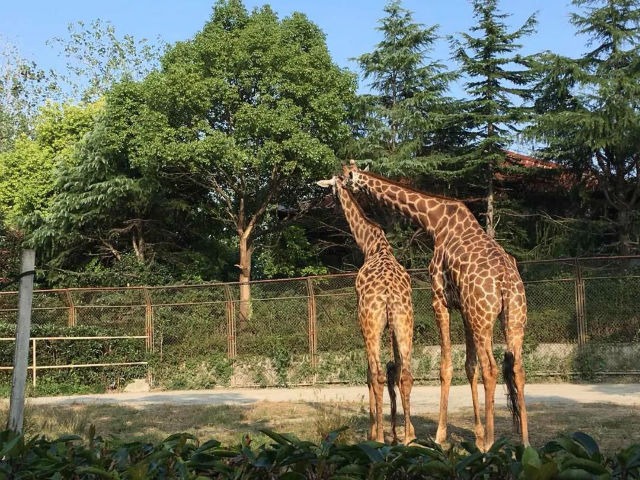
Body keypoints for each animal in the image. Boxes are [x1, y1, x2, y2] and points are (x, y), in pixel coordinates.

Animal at [317, 175, 416, 444]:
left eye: (329, 188)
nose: (326, 203)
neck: (373, 245)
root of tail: (389, 295)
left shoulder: (363, 322)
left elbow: (369, 373)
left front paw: (374, 431)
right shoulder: (393, 328)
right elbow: (395, 371)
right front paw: (398, 433)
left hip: (370, 323)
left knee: (377, 374)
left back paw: (379, 438)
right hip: (404, 322)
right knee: (405, 374)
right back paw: (408, 438)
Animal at [342, 161, 529, 451]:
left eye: (347, 177)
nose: (343, 186)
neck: (435, 221)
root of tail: (505, 283)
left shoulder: (439, 298)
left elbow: (446, 367)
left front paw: (441, 436)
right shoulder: (463, 308)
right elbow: (469, 367)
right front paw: (476, 434)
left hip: (483, 318)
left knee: (492, 369)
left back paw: (490, 443)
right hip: (513, 317)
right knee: (517, 369)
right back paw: (524, 442)